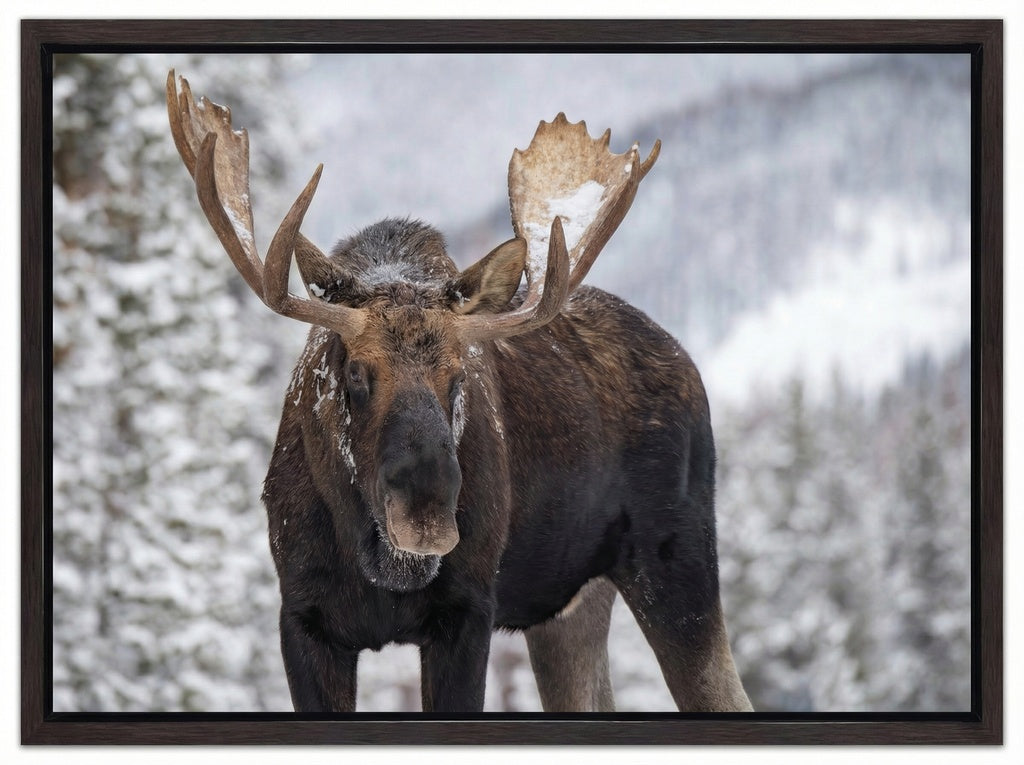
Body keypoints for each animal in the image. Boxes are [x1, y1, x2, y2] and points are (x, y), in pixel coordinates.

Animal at [166, 70, 752, 713]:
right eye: (355, 372)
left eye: (460, 374)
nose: (427, 512)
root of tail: (687, 360)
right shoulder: (303, 617)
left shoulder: (467, 613)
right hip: (569, 605)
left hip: (678, 560)